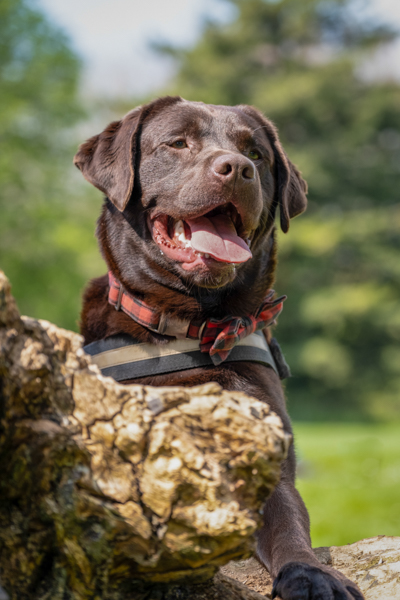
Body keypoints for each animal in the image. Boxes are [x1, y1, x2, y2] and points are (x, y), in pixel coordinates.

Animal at [73, 96, 364, 596]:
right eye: (177, 143)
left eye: (256, 154)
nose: (237, 168)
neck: (194, 328)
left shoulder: (270, 466)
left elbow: (288, 527)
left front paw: (312, 574)